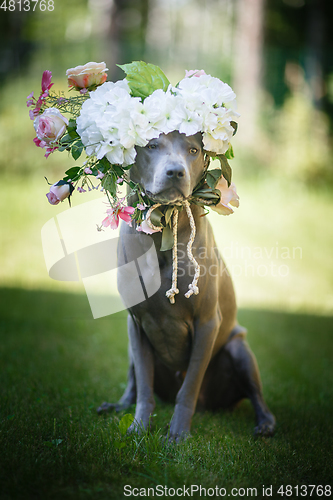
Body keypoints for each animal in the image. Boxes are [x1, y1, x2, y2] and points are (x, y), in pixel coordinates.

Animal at [98, 131, 274, 440]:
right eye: (151, 145)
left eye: (193, 150)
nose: (175, 172)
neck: (164, 229)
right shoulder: (136, 324)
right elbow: (144, 386)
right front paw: (138, 427)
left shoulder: (207, 322)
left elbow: (190, 385)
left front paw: (178, 434)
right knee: (133, 383)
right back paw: (117, 406)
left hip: (239, 348)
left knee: (256, 395)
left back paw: (265, 423)